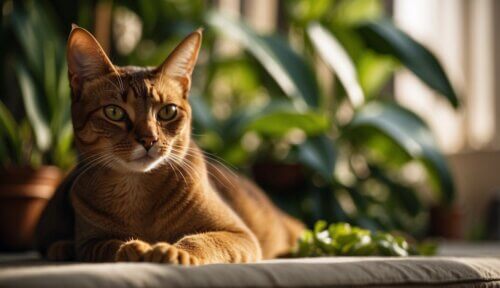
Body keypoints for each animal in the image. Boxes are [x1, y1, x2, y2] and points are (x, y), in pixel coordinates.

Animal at [36, 25, 304, 264]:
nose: (148, 140)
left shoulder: (240, 234)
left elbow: (203, 240)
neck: (138, 195)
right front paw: (133, 248)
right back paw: (62, 247)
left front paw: (175, 251)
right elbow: (108, 246)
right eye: (114, 112)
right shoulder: (89, 243)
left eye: (168, 111)